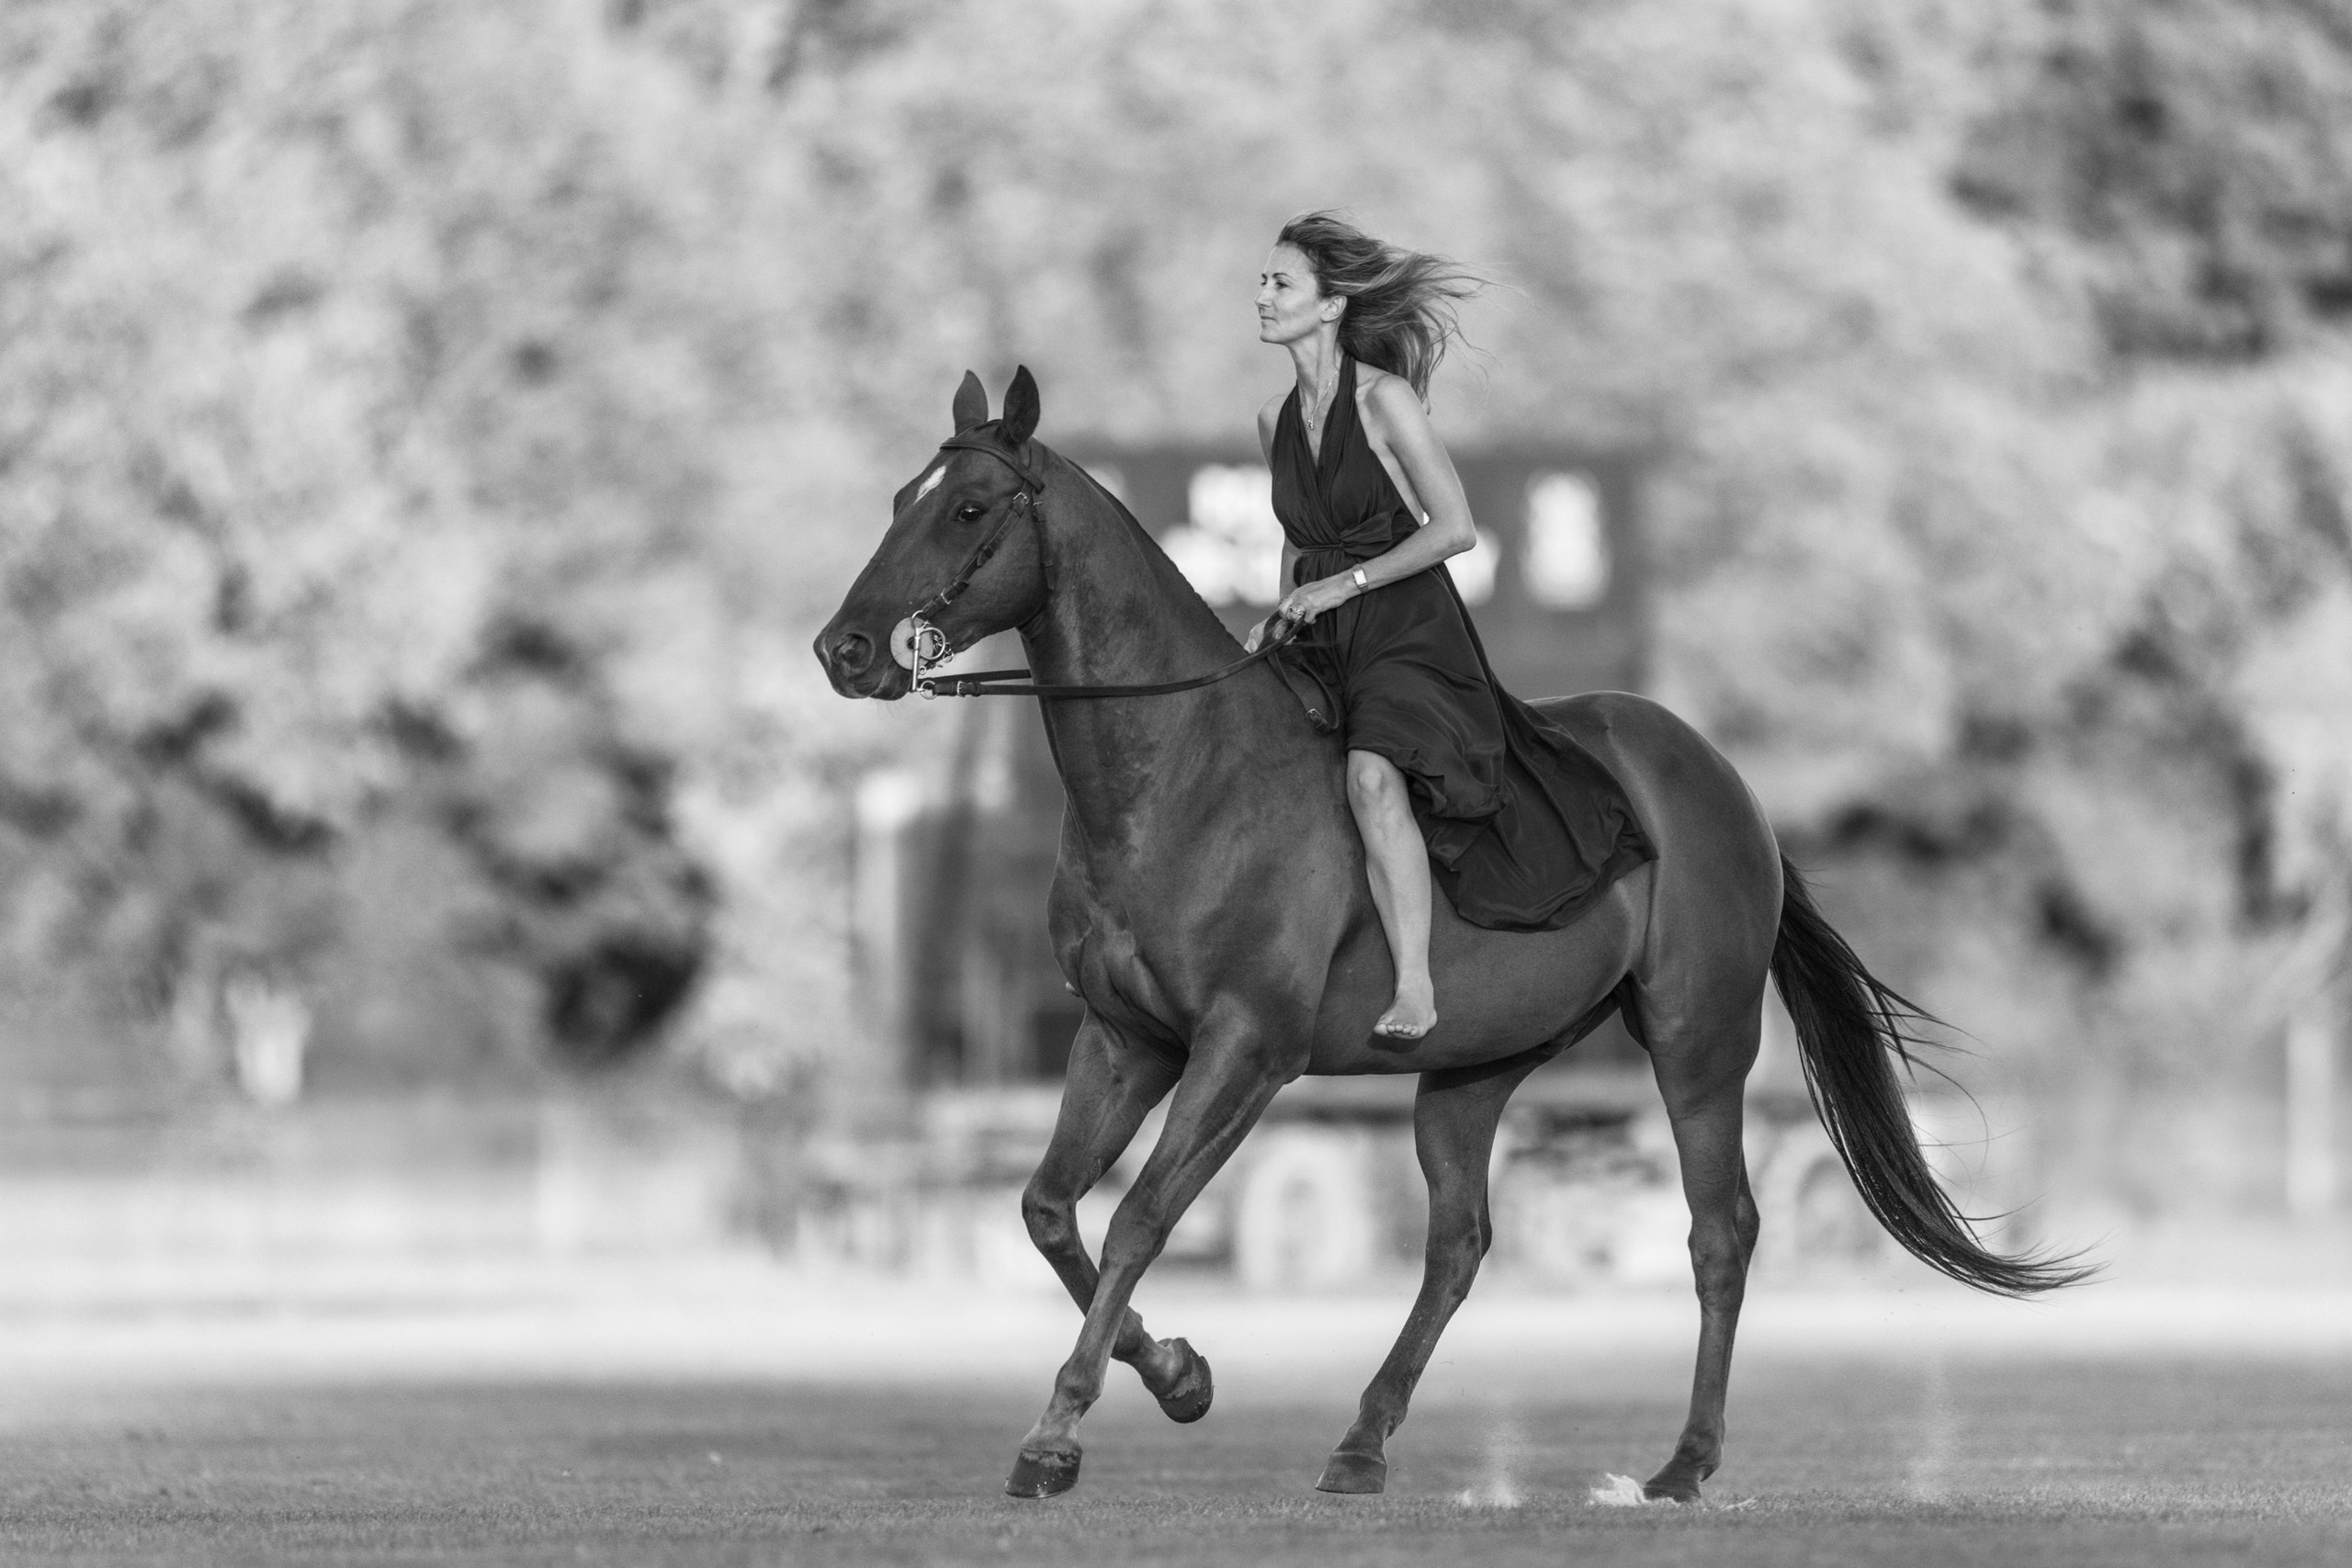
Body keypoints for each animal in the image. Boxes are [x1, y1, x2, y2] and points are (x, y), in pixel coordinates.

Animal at [814, 367, 2084, 1504]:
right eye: (897, 497)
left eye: (968, 509)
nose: (846, 651)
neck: (1178, 772)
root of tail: (1718, 778)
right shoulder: (1125, 1041)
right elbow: (1049, 1213)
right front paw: (1178, 1374)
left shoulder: (1244, 1050)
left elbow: (1136, 1217)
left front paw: (1057, 1438)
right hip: (1470, 1074)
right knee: (1458, 1246)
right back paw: (1360, 1445)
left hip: (1697, 1045)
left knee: (1718, 1233)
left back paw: (1682, 1466)